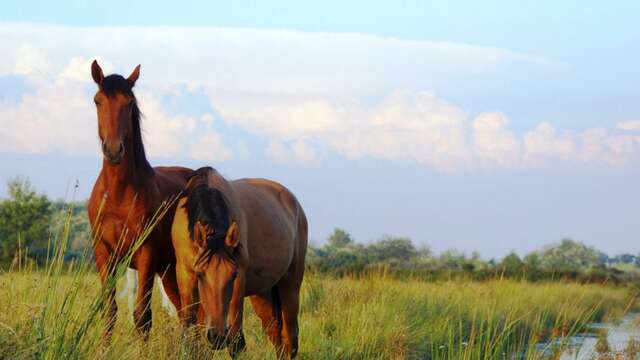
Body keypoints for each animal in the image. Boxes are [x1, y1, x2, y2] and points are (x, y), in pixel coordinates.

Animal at [88, 60, 192, 338]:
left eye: (129, 102)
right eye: (98, 101)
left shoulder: (145, 254)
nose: (114, 150)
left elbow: (142, 316)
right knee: (184, 314)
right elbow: (110, 311)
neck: (118, 196)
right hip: (168, 271)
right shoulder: (104, 254)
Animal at [171, 167, 308, 358]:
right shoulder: (184, 275)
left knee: (290, 339)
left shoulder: (239, 279)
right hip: (262, 293)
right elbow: (189, 335)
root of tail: (296, 206)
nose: (217, 337)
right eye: (200, 274)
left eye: (233, 274)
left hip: (290, 286)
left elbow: (236, 342)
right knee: (276, 334)